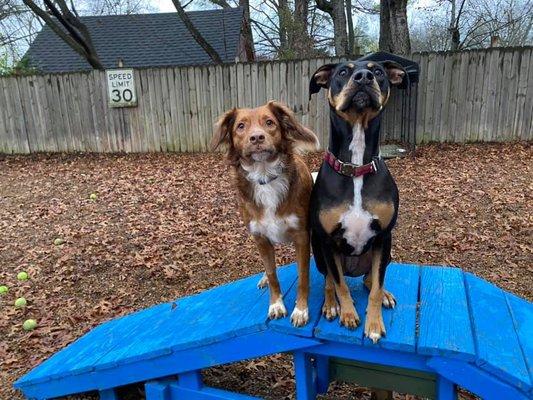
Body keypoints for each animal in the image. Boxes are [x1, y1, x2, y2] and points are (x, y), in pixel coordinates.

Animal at [210, 101, 318, 326]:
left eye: (269, 123)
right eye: (241, 126)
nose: (257, 137)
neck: (265, 175)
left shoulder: (301, 236)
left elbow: (302, 275)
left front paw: (301, 310)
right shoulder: (260, 238)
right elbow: (272, 272)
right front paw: (276, 304)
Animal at [308, 57, 404, 342]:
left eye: (379, 72)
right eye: (342, 72)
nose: (363, 78)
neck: (356, 167)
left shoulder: (384, 236)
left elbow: (376, 286)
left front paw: (373, 323)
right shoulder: (328, 240)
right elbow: (339, 284)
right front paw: (348, 314)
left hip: (384, 253)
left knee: (370, 280)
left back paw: (384, 294)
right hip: (318, 252)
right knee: (330, 279)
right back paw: (331, 305)